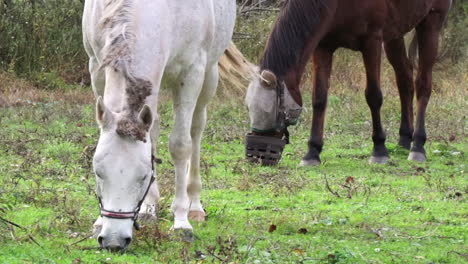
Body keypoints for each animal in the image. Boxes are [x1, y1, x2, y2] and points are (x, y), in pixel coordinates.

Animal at [82, 0, 236, 250]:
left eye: (144, 176)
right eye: (98, 172)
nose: (114, 241)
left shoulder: (192, 71)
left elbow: (181, 146)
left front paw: (181, 223)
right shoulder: (96, 66)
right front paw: (101, 221)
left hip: (209, 75)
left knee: (196, 129)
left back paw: (194, 205)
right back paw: (149, 208)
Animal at [247, 0, 452, 165]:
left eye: (273, 111)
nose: (257, 156)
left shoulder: (372, 41)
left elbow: (374, 96)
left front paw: (379, 150)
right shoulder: (323, 46)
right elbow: (319, 100)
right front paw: (312, 152)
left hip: (431, 24)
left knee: (423, 84)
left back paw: (417, 145)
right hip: (395, 34)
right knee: (405, 79)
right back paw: (404, 139)